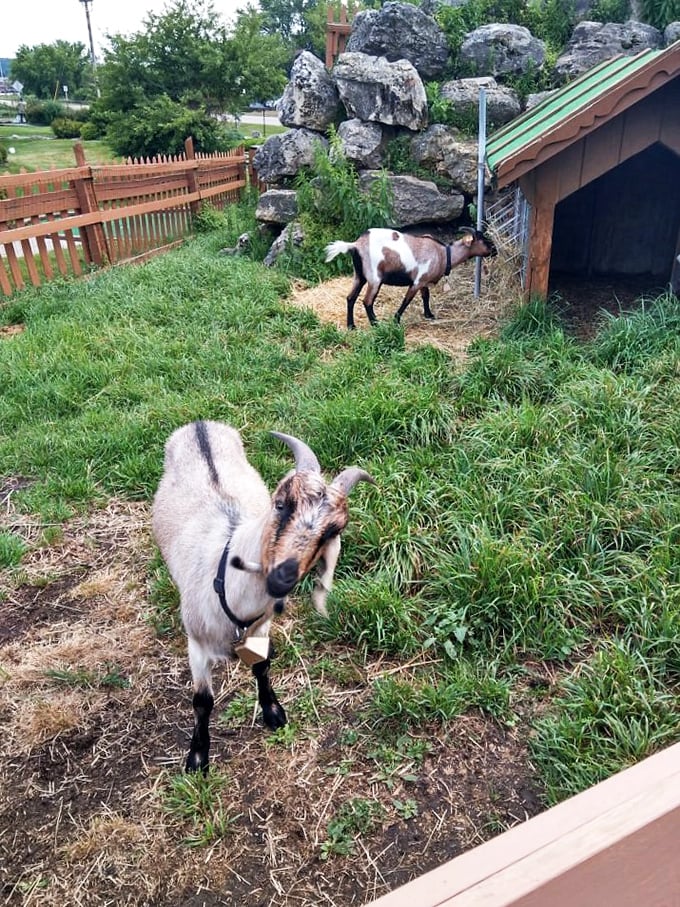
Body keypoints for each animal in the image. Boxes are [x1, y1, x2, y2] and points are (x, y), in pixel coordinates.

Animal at [152, 420, 374, 772]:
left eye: (333, 530)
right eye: (281, 504)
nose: (282, 577)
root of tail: (200, 424)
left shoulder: (261, 628)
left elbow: (262, 667)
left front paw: (273, 712)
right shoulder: (196, 643)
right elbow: (203, 700)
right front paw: (197, 758)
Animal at [324, 227, 494, 330]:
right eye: (483, 240)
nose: (495, 250)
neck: (443, 254)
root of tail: (356, 245)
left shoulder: (424, 282)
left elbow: (426, 296)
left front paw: (429, 315)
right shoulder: (417, 281)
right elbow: (407, 300)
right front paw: (396, 320)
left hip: (359, 276)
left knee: (350, 297)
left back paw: (351, 326)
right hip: (374, 278)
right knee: (367, 301)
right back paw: (375, 324)